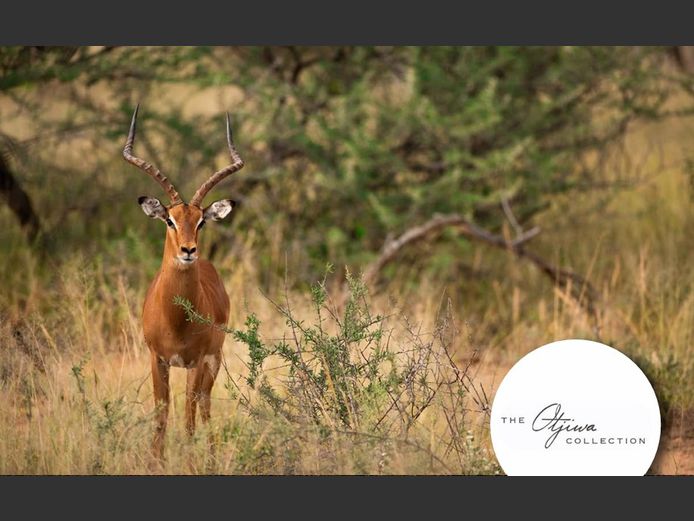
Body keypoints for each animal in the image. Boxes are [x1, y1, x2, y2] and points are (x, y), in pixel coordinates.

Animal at [123, 105, 244, 456]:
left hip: (214, 361)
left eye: (201, 221)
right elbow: (161, 420)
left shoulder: (195, 362)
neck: (176, 319)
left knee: (203, 406)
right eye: (169, 220)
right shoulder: (158, 360)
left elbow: (188, 423)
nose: (189, 250)